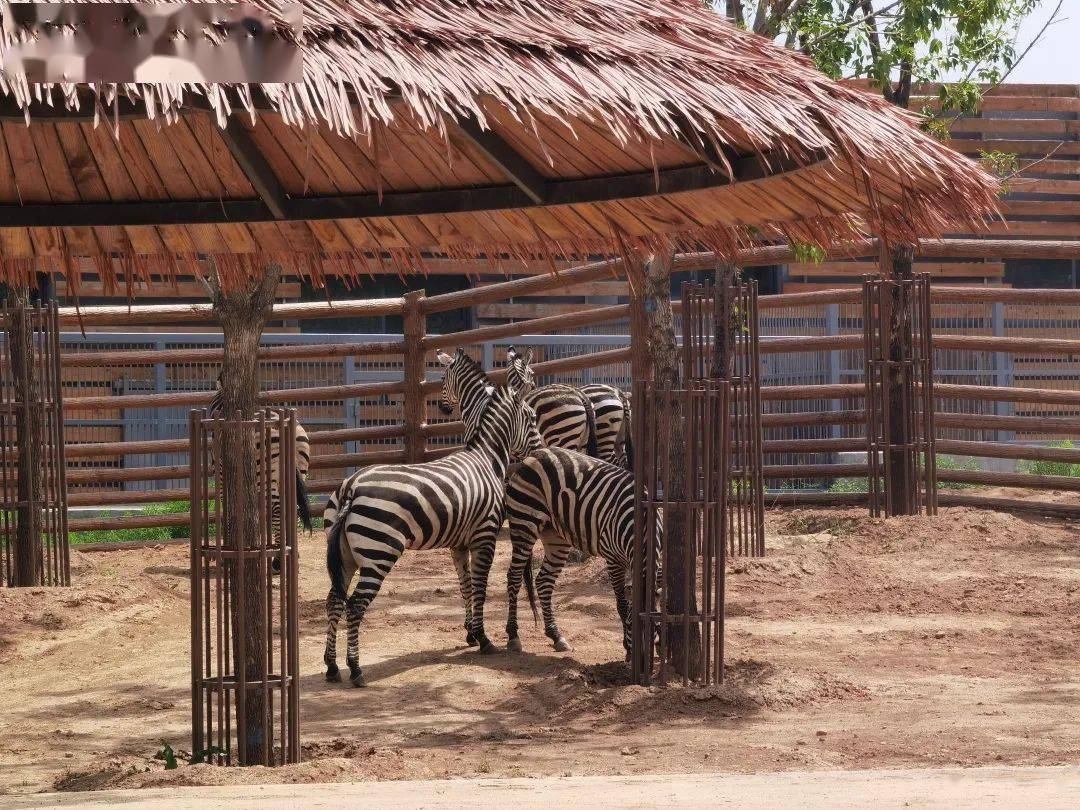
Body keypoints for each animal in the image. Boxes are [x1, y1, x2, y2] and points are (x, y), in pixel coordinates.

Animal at [319, 384, 540, 686]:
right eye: (532, 418)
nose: (540, 451)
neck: (487, 460)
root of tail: (352, 486)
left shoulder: (459, 544)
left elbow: (466, 586)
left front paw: (471, 633)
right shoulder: (484, 536)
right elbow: (480, 587)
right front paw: (484, 639)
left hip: (346, 557)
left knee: (334, 601)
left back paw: (332, 667)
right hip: (379, 553)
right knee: (355, 605)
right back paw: (355, 669)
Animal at [503, 447, 652, 660]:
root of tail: (534, 454)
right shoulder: (613, 558)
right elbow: (622, 604)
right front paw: (626, 647)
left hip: (556, 536)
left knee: (544, 580)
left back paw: (556, 635)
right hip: (524, 521)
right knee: (514, 577)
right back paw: (513, 635)